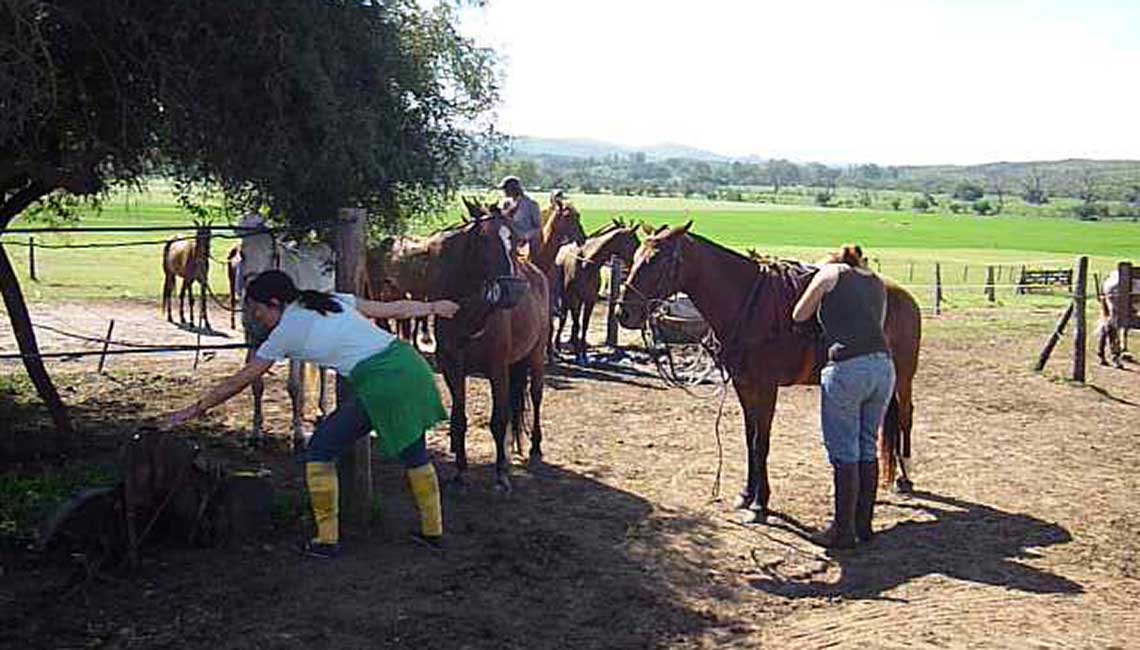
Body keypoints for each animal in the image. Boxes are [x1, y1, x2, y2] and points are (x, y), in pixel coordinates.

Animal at [428, 199, 551, 488]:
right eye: (483, 240)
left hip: (536, 356)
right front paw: (461, 471)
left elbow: (498, 420)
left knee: (535, 396)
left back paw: (534, 447)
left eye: (516, 239)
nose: (515, 290)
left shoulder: (496, 368)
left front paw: (501, 474)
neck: (469, 314)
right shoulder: (452, 368)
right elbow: (459, 419)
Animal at [551, 218, 642, 362]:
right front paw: (578, 353)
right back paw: (558, 345)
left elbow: (584, 325)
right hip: (566, 298)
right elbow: (576, 324)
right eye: (633, 243)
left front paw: (582, 353)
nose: (633, 268)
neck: (585, 263)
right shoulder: (573, 298)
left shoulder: (590, 300)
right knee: (564, 319)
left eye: (638, 243)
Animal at [615, 222, 925, 522]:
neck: (747, 303)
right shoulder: (744, 384)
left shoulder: (766, 387)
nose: (623, 313)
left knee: (906, 416)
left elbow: (760, 442)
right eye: (636, 256)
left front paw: (759, 503)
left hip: (904, 375)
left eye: (656, 260)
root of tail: (903, 295)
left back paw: (905, 478)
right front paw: (746, 494)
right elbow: (749, 438)